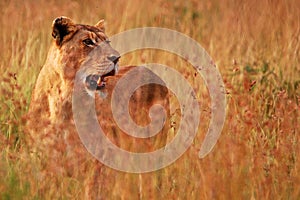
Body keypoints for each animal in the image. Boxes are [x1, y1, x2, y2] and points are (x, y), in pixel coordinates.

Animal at [28, 16, 175, 198]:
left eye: (107, 41)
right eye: (87, 42)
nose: (116, 58)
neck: (63, 101)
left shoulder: (96, 161)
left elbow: (91, 192)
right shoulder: (43, 160)